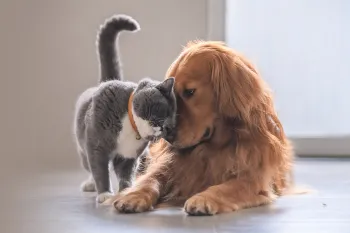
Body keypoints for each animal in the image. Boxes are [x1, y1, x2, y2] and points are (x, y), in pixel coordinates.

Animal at [74, 15, 178, 204]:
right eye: (163, 110)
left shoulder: (128, 156)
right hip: (83, 147)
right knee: (89, 166)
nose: (164, 127)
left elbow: (126, 173)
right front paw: (104, 193)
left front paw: (127, 191)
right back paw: (90, 184)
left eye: (171, 127)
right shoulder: (96, 145)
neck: (131, 126)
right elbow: (99, 169)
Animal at [110, 39, 296, 215]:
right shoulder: (168, 166)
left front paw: (203, 198)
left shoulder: (253, 178)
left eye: (190, 92)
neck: (213, 147)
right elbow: (150, 179)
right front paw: (132, 195)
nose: (167, 136)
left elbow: (227, 187)